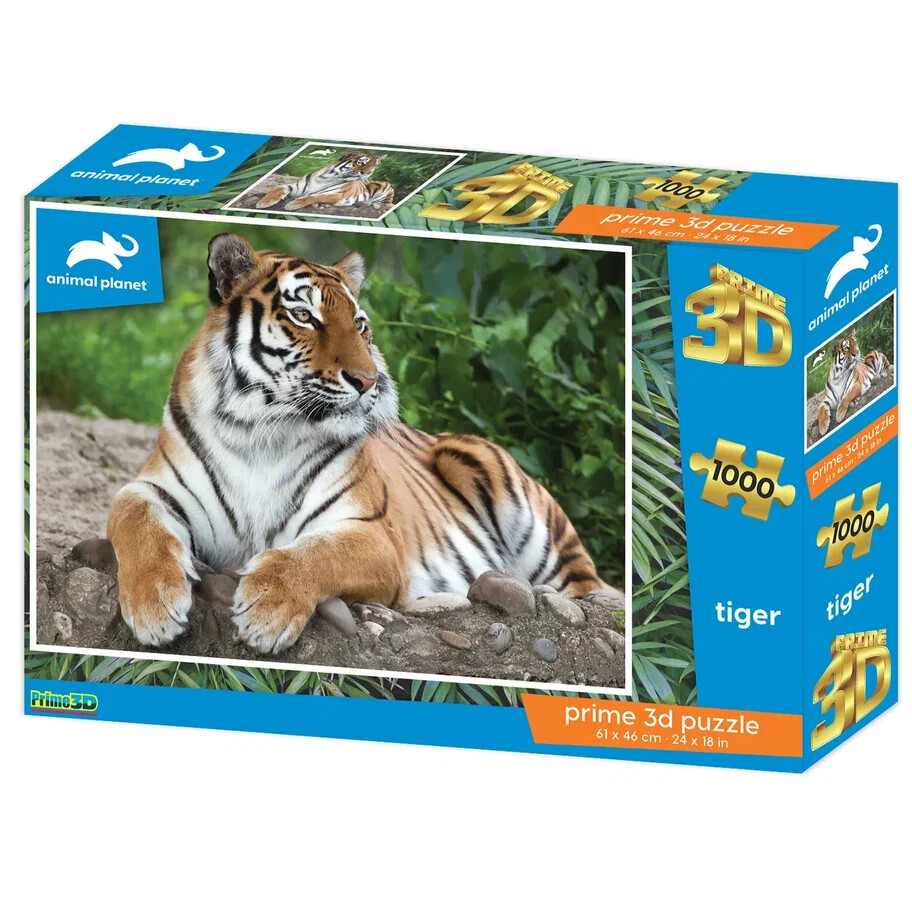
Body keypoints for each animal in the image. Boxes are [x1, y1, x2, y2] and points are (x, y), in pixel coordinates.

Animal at [107, 233, 608, 653]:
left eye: (361, 324)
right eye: (304, 316)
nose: (369, 381)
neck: (262, 430)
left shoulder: (371, 534)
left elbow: (316, 554)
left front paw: (266, 610)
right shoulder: (151, 488)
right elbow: (138, 523)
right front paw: (154, 606)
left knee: (589, 589)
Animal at [255, 151, 394, 212]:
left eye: (374, 166)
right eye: (362, 162)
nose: (368, 173)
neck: (327, 176)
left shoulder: (338, 194)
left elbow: (313, 197)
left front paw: (292, 204)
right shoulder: (294, 185)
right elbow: (278, 188)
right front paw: (263, 202)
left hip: (385, 186)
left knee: (385, 203)